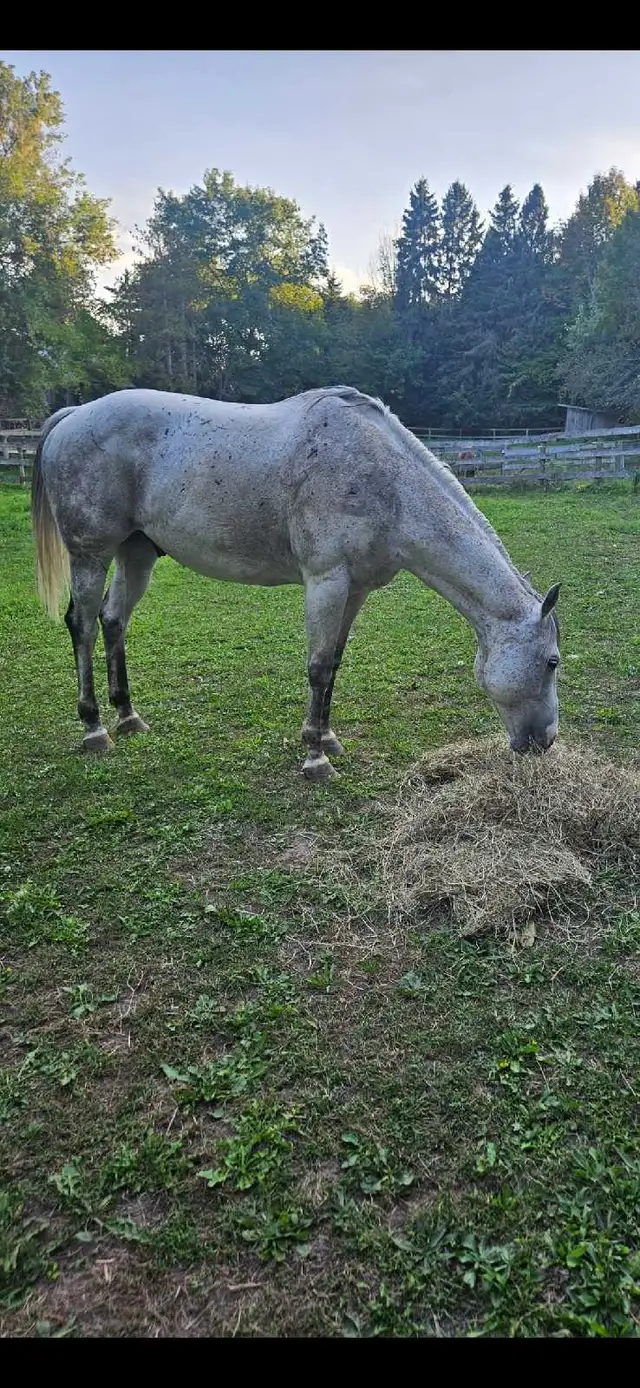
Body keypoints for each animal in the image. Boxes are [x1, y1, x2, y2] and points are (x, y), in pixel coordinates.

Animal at [30, 386, 561, 780]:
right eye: (553, 661)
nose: (545, 741)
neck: (384, 482)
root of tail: (75, 416)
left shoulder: (355, 590)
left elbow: (335, 664)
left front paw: (327, 738)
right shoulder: (326, 582)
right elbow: (319, 667)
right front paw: (315, 757)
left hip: (136, 553)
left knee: (113, 620)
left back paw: (128, 717)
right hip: (91, 555)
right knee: (83, 625)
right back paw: (95, 728)